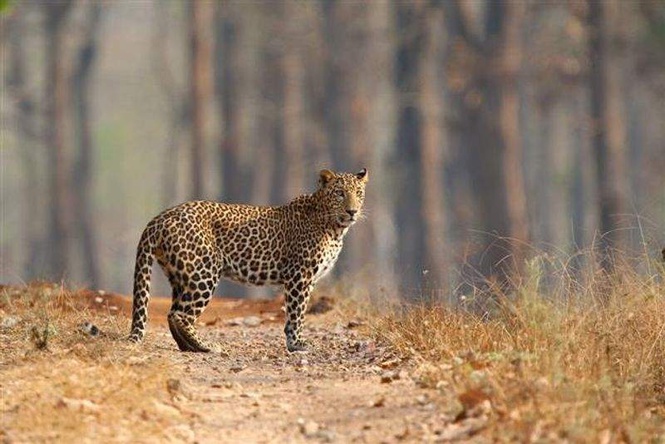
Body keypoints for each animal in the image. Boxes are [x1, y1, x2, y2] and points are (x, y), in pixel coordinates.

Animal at [128, 168, 368, 353]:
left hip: (180, 275)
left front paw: (293, 342)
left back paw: (189, 347)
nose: (352, 211)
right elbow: (296, 312)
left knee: (172, 314)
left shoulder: (308, 279)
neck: (335, 229)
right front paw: (297, 343)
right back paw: (206, 346)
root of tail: (160, 218)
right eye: (339, 193)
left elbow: (296, 313)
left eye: (358, 193)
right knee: (180, 315)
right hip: (203, 274)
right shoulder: (300, 275)